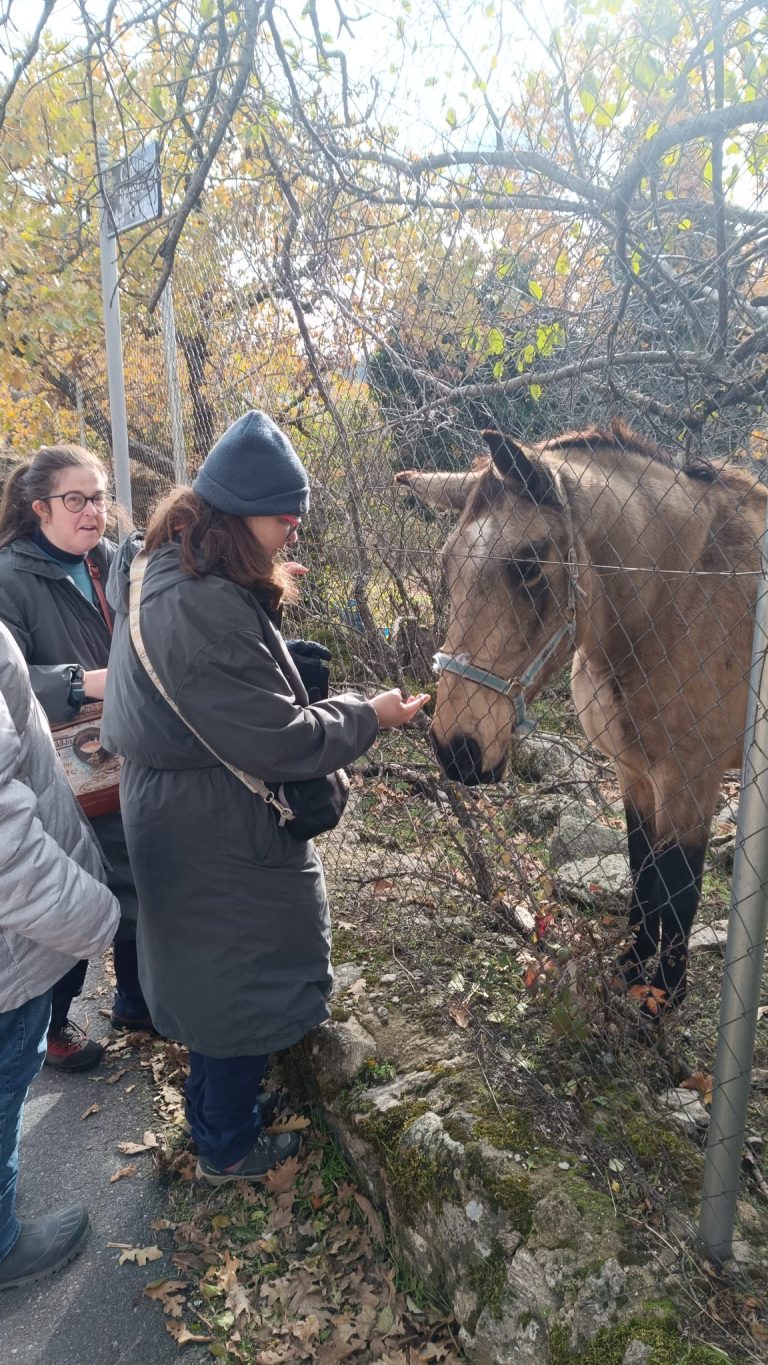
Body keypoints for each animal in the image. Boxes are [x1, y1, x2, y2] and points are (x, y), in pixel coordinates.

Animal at [395, 420, 765, 1015]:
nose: (457, 750)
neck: (680, 595)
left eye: (527, 565)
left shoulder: (693, 779)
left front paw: (664, 995)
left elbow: (679, 885)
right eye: (448, 563)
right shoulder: (634, 771)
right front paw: (632, 970)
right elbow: (643, 870)